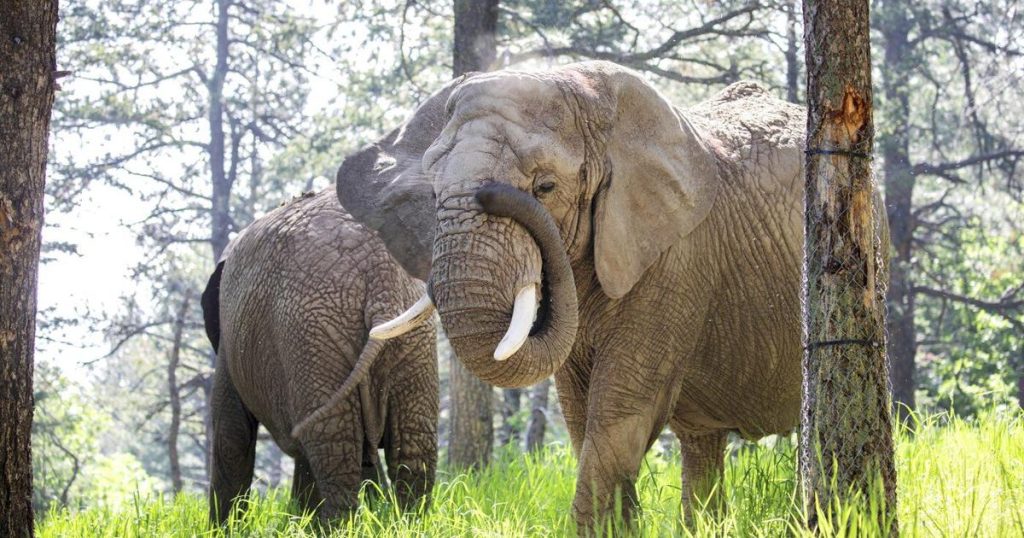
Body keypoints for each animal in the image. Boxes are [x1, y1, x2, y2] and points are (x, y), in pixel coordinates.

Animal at [200, 189, 438, 524]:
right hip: (410, 339)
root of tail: (379, 274)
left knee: (333, 446)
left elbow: (231, 433)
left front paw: (222, 529)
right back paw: (407, 524)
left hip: (311, 334)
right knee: (412, 448)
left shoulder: (229, 344)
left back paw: (336, 526)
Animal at [335, 61, 889, 531]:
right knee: (701, 444)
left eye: (545, 186)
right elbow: (580, 413)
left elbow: (621, 406)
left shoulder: (676, 258)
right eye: (432, 195)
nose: (493, 192)